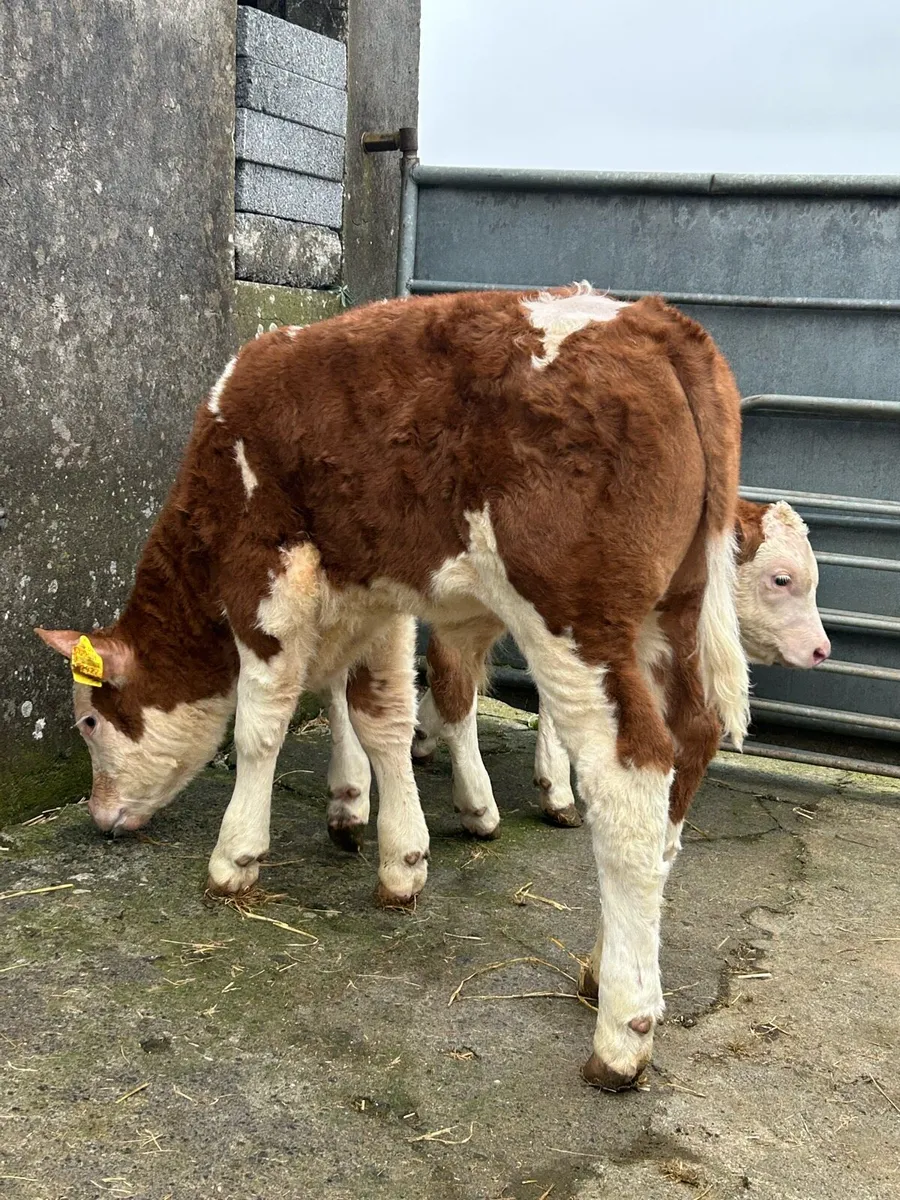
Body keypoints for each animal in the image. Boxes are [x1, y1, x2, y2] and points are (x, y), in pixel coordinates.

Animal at [38, 285, 751, 1090]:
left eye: (89, 721)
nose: (100, 816)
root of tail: (648, 318)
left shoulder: (267, 574)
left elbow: (260, 725)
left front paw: (236, 857)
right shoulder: (372, 593)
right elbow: (378, 715)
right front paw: (399, 859)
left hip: (577, 615)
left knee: (632, 775)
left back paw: (623, 1032)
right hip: (673, 611)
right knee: (690, 746)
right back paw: (606, 969)